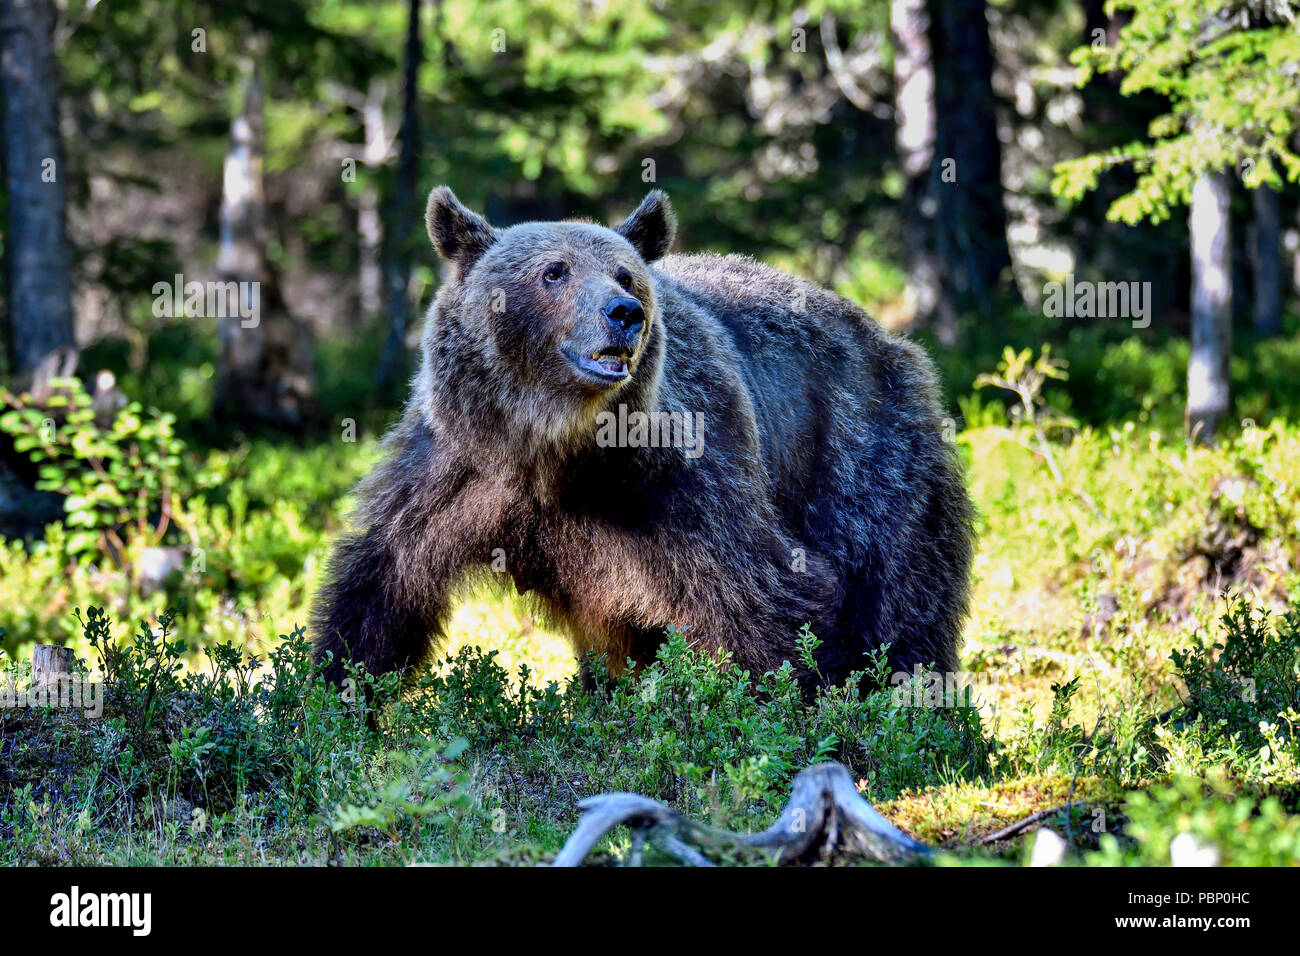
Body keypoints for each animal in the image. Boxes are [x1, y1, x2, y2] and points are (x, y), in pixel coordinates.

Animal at [312, 186, 973, 694]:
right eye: (554, 271)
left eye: (624, 273)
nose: (624, 311)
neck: (554, 449)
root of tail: (887, 337)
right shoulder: (455, 467)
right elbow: (382, 582)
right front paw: (329, 692)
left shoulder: (681, 480)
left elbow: (763, 598)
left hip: (862, 453)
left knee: (899, 596)